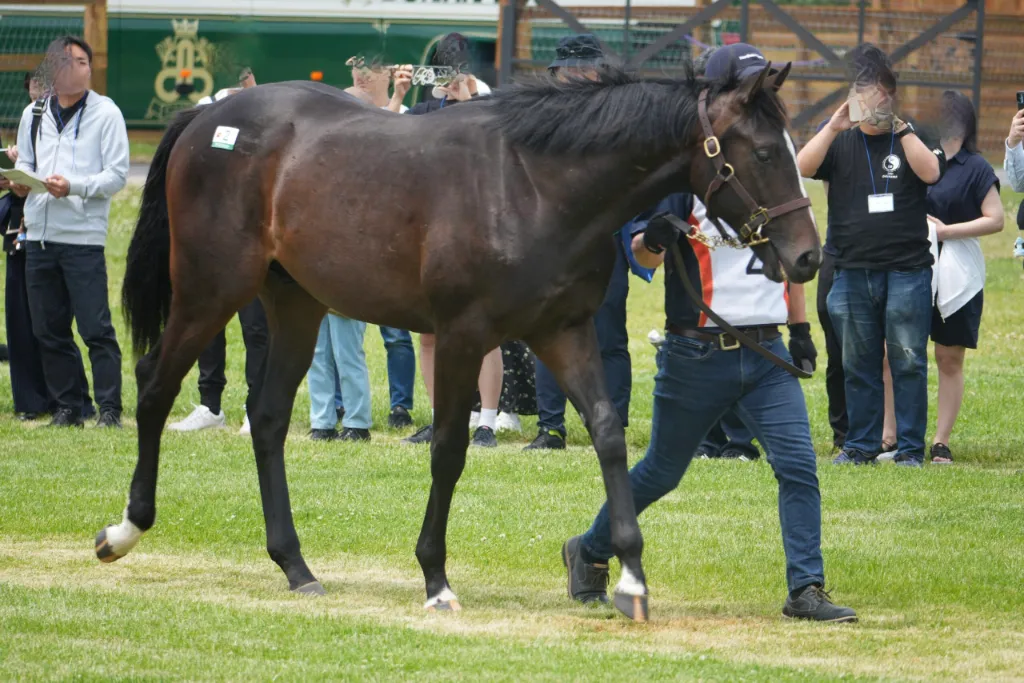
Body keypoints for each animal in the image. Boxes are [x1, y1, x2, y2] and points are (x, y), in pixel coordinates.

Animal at [94, 64, 820, 622]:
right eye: (762, 152)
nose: (807, 257)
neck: (534, 185)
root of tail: (207, 117)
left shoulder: (563, 331)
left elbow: (609, 433)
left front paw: (631, 577)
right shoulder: (463, 335)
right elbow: (448, 450)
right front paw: (436, 579)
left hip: (295, 303)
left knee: (268, 419)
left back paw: (296, 565)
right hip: (209, 291)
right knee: (155, 385)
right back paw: (124, 530)